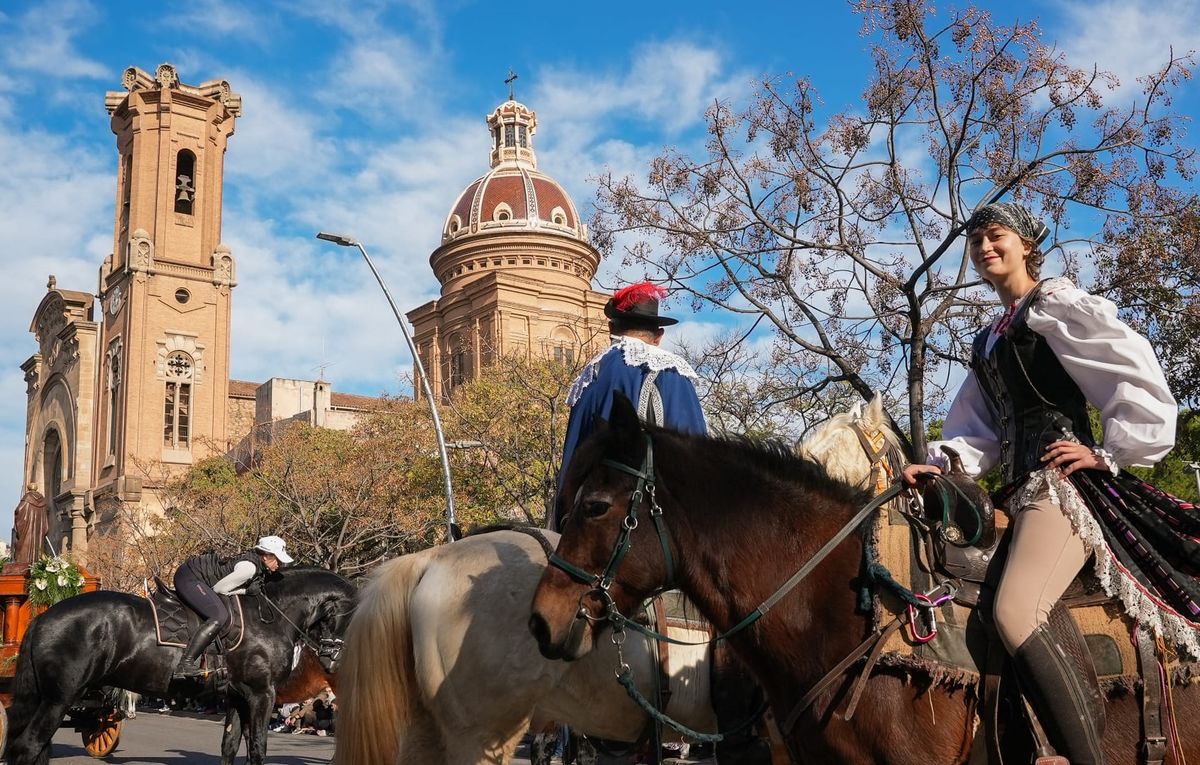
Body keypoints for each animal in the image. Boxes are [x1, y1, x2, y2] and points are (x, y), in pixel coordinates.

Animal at [5, 565, 355, 762]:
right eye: (351, 617)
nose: (333, 659)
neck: (269, 616)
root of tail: (44, 617)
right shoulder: (260, 695)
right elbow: (257, 748)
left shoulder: (237, 697)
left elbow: (229, 746)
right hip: (58, 699)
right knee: (28, 746)